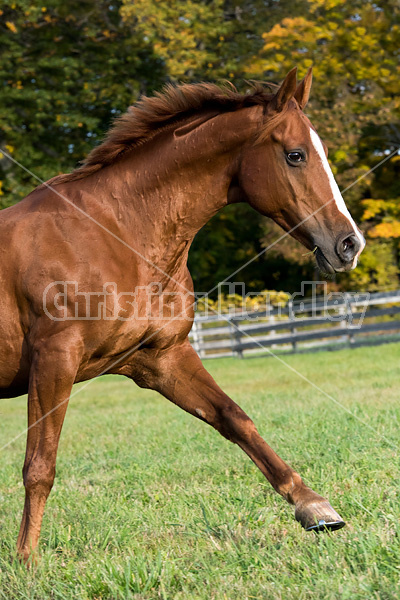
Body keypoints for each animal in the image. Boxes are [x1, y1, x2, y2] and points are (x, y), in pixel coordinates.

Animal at [0, 67, 362, 564]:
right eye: (295, 154)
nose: (349, 244)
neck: (115, 232)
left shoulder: (160, 358)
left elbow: (234, 418)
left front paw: (314, 507)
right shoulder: (55, 359)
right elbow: (40, 465)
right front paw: (26, 562)